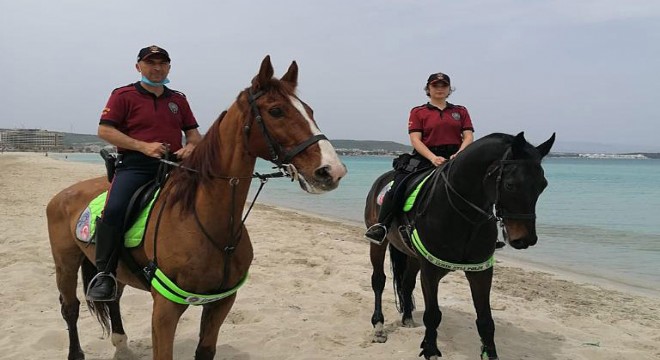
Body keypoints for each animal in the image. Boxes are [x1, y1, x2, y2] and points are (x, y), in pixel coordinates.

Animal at [45, 54, 346, 358]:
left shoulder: (222, 302)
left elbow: (205, 350)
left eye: (309, 110)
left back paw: (122, 346)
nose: (332, 171)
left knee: (113, 299)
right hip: (65, 264)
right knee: (70, 308)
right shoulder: (165, 309)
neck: (207, 223)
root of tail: (62, 195)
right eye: (276, 111)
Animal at [364, 132, 556, 360]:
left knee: (407, 283)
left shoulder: (481, 271)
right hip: (378, 244)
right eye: (510, 185)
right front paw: (430, 350)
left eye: (543, 185)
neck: (462, 214)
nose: (525, 239)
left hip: (412, 256)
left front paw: (490, 353)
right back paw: (378, 327)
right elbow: (433, 314)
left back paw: (408, 318)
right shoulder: (430, 270)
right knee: (378, 281)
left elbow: (485, 320)